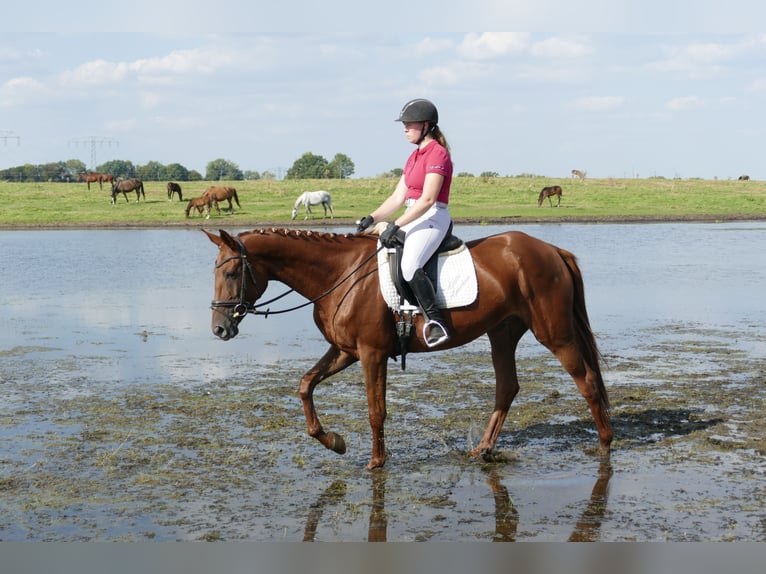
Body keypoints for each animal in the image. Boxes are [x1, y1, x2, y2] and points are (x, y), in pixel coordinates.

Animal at [204, 227, 612, 470]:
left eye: (231, 273)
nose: (219, 328)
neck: (342, 275)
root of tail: (552, 250)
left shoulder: (371, 353)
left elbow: (376, 411)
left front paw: (376, 462)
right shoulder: (345, 351)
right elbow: (305, 385)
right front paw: (334, 441)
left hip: (555, 334)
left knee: (588, 383)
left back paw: (606, 444)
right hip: (502, 333)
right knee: (507, 388)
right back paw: (483, 449)